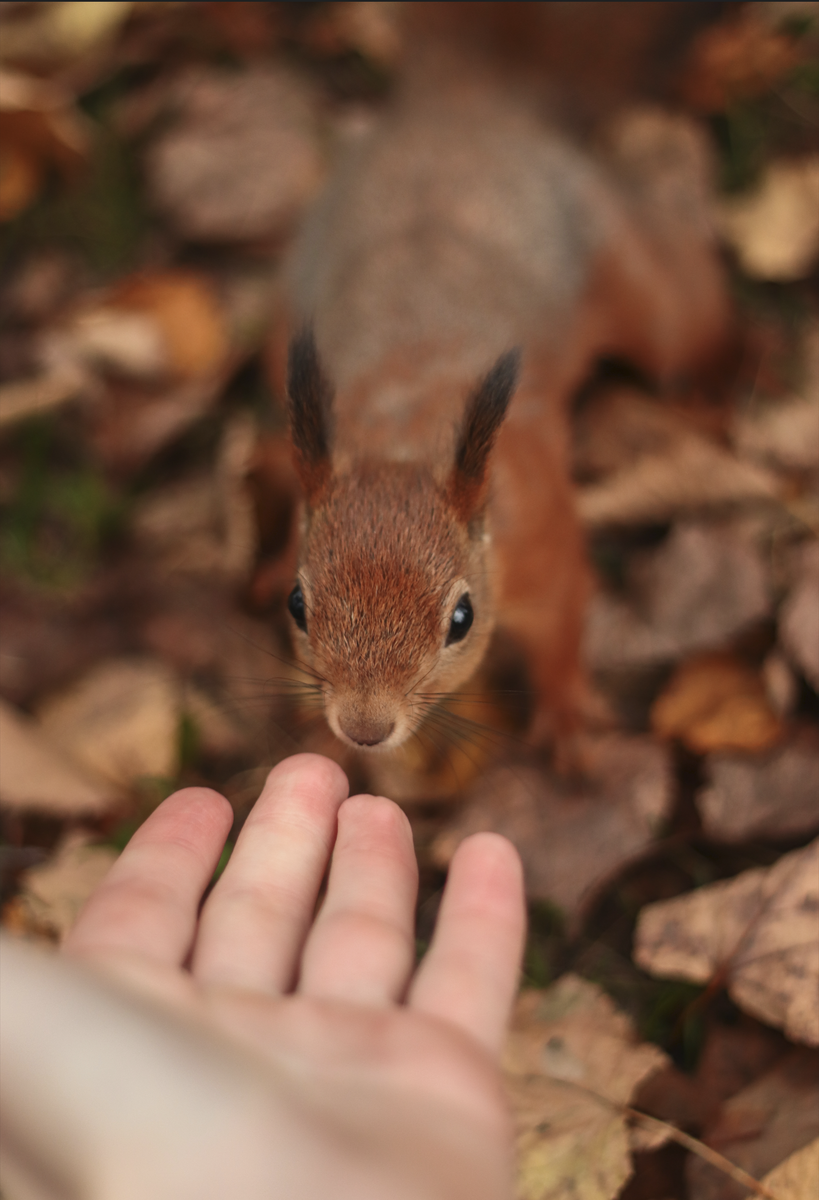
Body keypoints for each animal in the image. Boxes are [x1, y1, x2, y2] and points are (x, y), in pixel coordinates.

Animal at [267, 4, 725, 763]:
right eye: (298, 606)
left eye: (462, 616)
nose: (364, 730)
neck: (403, 437)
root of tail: (465, 102)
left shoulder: (542, 537)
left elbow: (566, 616)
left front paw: (567, 717)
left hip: (635, 282)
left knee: (686, 303)